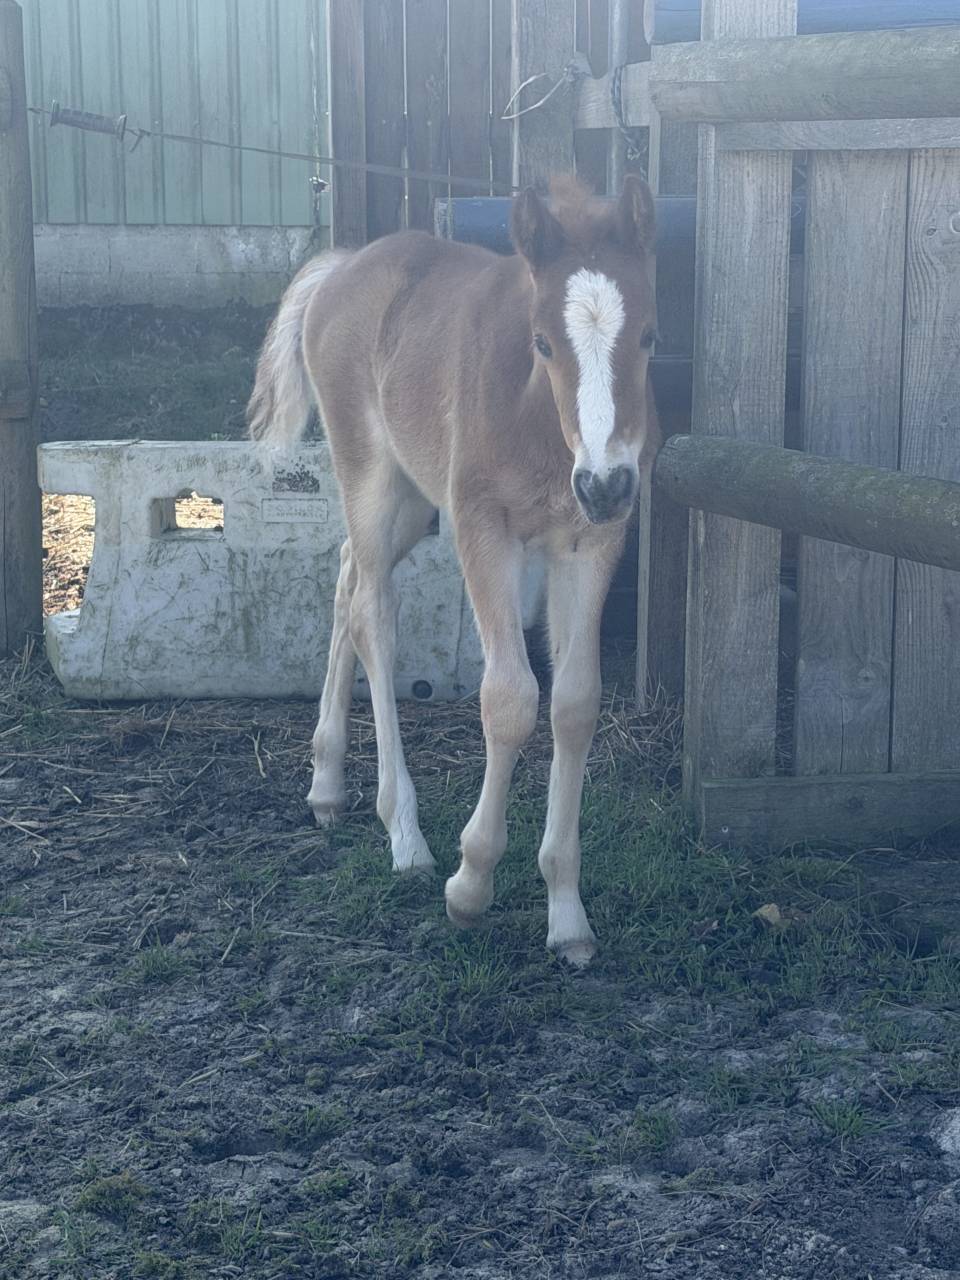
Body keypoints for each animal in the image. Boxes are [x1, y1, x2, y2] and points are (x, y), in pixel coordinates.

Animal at [248, 175, 660, 966]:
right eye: (542, 342)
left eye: (650, 335)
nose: (606, 483)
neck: (542, 429)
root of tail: (343, 264)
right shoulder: (481, 529)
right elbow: (509, 699)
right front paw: (471, 883)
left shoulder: (590, 543)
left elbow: (574, 703)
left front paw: (566, 912)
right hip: (373, 478)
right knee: (372, 611)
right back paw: (403, 833)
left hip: (413, 497)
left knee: (347, 577)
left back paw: (327, 784)